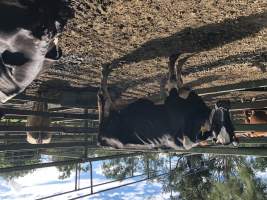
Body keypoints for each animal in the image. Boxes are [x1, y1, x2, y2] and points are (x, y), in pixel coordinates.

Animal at [98, 54, 239, 149]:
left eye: (219, 124)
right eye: (224, 119)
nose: (221, 105)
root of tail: (100, 140)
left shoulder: (173, 98)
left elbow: (172, 77)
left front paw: (174, 59)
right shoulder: (182, 94)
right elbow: (178, 79)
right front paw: (181, 61)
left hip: (113, 117)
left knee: (103, 101)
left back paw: (105, 72)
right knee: (104, 102)